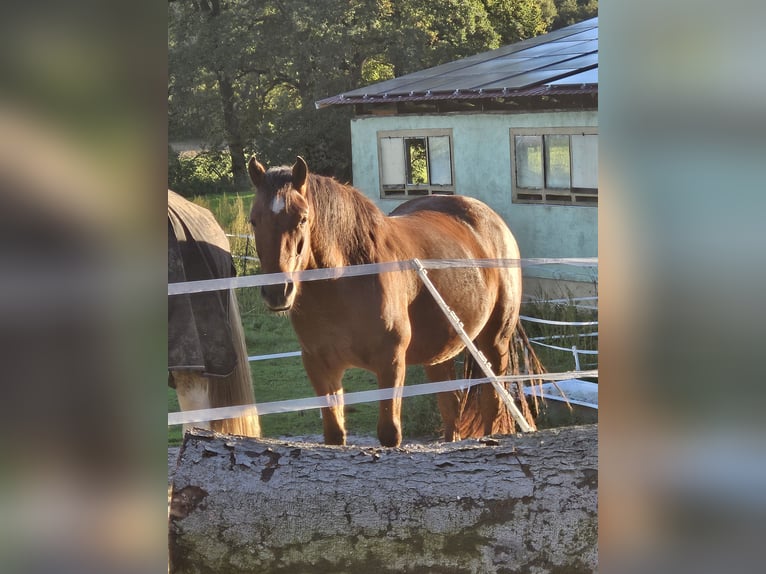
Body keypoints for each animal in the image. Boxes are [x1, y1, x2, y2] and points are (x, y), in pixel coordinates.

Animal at [248, 158, 536, 450]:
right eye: (254, 221)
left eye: (302, 218)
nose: (277, 292)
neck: (345, 280)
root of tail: (494, 222)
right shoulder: (319, 366)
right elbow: (334, 435)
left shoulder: (391, 363)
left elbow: (389, 433)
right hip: (439, 355)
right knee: (451, 409)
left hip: (495, 343)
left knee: (491, 404)